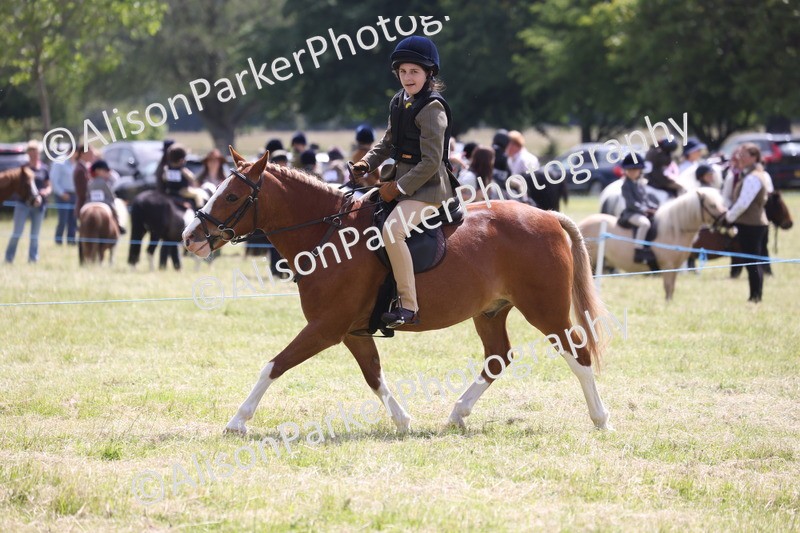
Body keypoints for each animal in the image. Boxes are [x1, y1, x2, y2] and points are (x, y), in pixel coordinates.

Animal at [183, 147, 613, 436]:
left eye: (232, 196)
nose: (191, 238)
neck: (329, 234)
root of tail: (547, 216)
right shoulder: (351, 331)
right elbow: (373, 375)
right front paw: (403, 421)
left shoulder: (325, 328)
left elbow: (274, 365)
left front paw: (237, 421)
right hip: (490, 312)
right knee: (497, 358)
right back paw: (457, 414)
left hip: (545, 311)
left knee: (578, 353)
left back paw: (600, 418)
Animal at [578, 188, 728, 300]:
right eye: (712, 205)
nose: (725, 220)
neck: (674, 229)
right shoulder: (668, 266)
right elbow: (668, 286)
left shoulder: (675, 267)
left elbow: (671, 288)